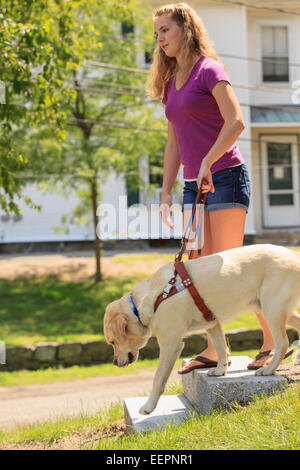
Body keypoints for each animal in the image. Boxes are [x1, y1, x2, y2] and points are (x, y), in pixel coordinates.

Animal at [103, 244, 300, 414]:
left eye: (112, 342)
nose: (114, 362)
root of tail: (293, 256)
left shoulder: (170, 345)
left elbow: (158, 379)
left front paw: (149, 407)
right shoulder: (212, 324)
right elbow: (221, 349)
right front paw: (220, 371)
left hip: (271, 309)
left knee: (282, 342)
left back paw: (269, 369)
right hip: (280, 311)